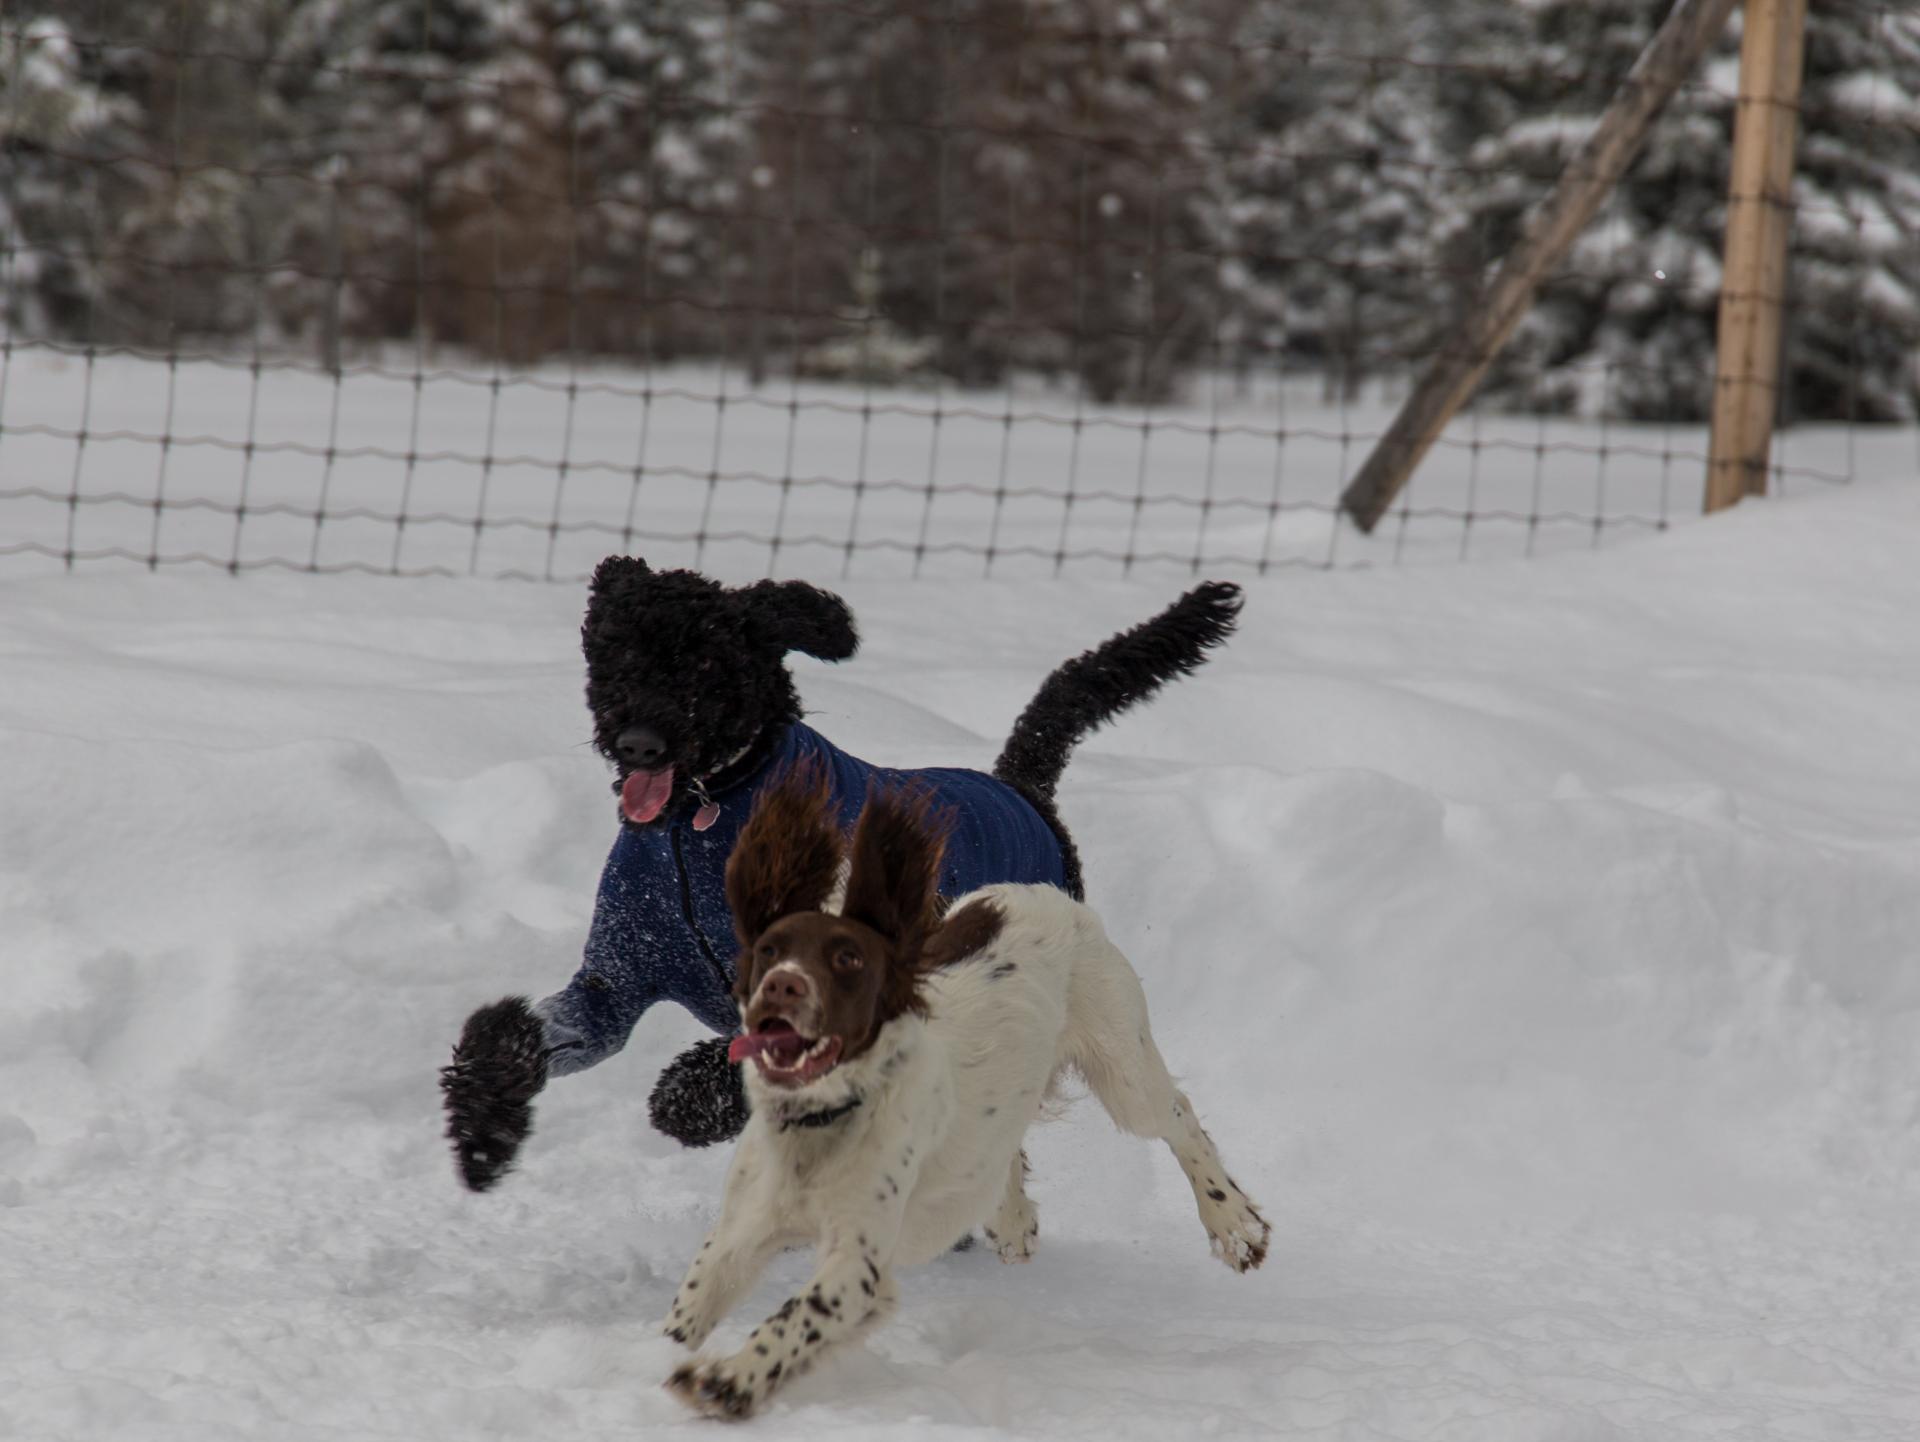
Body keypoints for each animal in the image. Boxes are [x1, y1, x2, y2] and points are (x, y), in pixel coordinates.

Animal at [439, 564, 1236, 1198]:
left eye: (708, 663)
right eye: (620, 653)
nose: (639, 743)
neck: (703, 816)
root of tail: (1022, 790)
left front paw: (684, 1100)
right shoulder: (617, 978)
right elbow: (523, 1031)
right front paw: (483, 1133)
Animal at [668, 771, 1267, 1413]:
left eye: (848, 958)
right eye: (769, 950)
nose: (782, 987)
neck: (823, 1120)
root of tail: (1039, 891)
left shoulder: (858, 1264)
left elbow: (796, 1318)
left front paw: (727, 1379)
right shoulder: (743, 1230)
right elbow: (691, 1304)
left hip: (1123, 1066)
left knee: (1178, 1116)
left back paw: (1235, 1227)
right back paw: (1011, 1220)